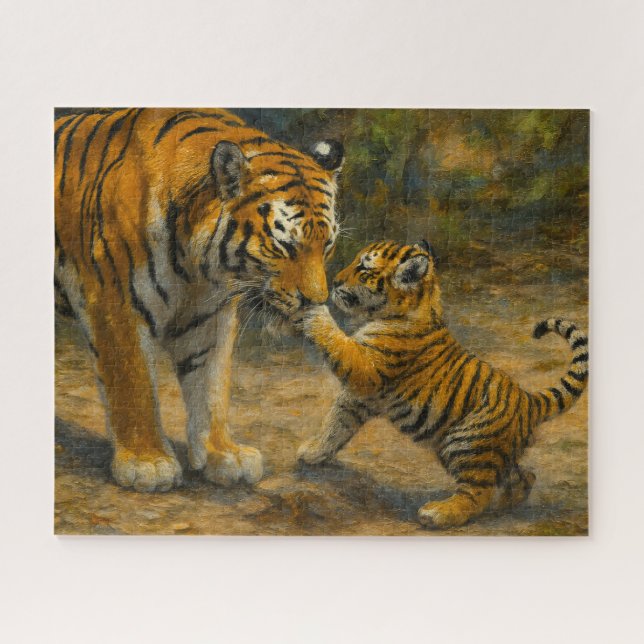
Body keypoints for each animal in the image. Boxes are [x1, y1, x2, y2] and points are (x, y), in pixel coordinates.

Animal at [55, 108, 344, 492]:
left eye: (327, 245)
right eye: (286, 246)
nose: (315, 300)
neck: (196, 265)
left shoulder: (209, 314)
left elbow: (210, 386)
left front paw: (223, 455)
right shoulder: (114, 301)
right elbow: (133, 383)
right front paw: (148, 463)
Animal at [295, 240, 588, 528]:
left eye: (364, 268)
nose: (334, 281)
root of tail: (529, 399)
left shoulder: (364, 368)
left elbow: (336, 341)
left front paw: (313, 311)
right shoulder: (358, 397)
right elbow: (336, 425)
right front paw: (313, 452)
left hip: (468, 443)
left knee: (476, 492)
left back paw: (437, 513)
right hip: (491, 450)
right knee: (524, 477)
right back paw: (503, 504)